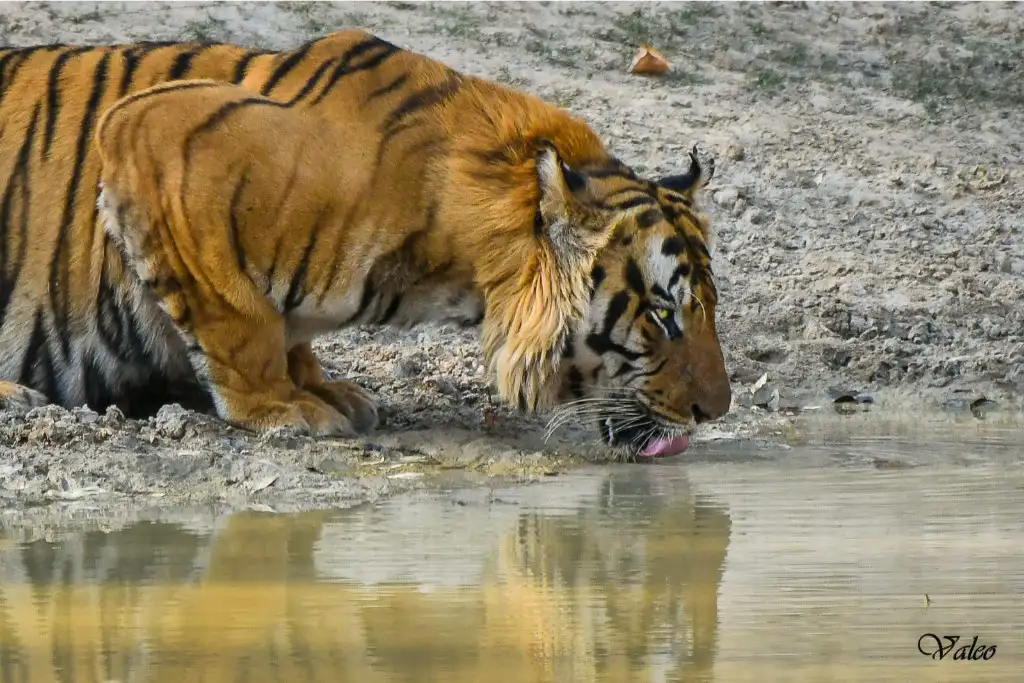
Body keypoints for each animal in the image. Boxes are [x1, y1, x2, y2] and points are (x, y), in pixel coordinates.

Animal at [0, 29, 731, 459]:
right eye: (663, 315)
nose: (716, 411)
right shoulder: (151, 133)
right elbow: (241, 320)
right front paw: (284, 407)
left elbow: (285, 332)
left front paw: (325, 388)